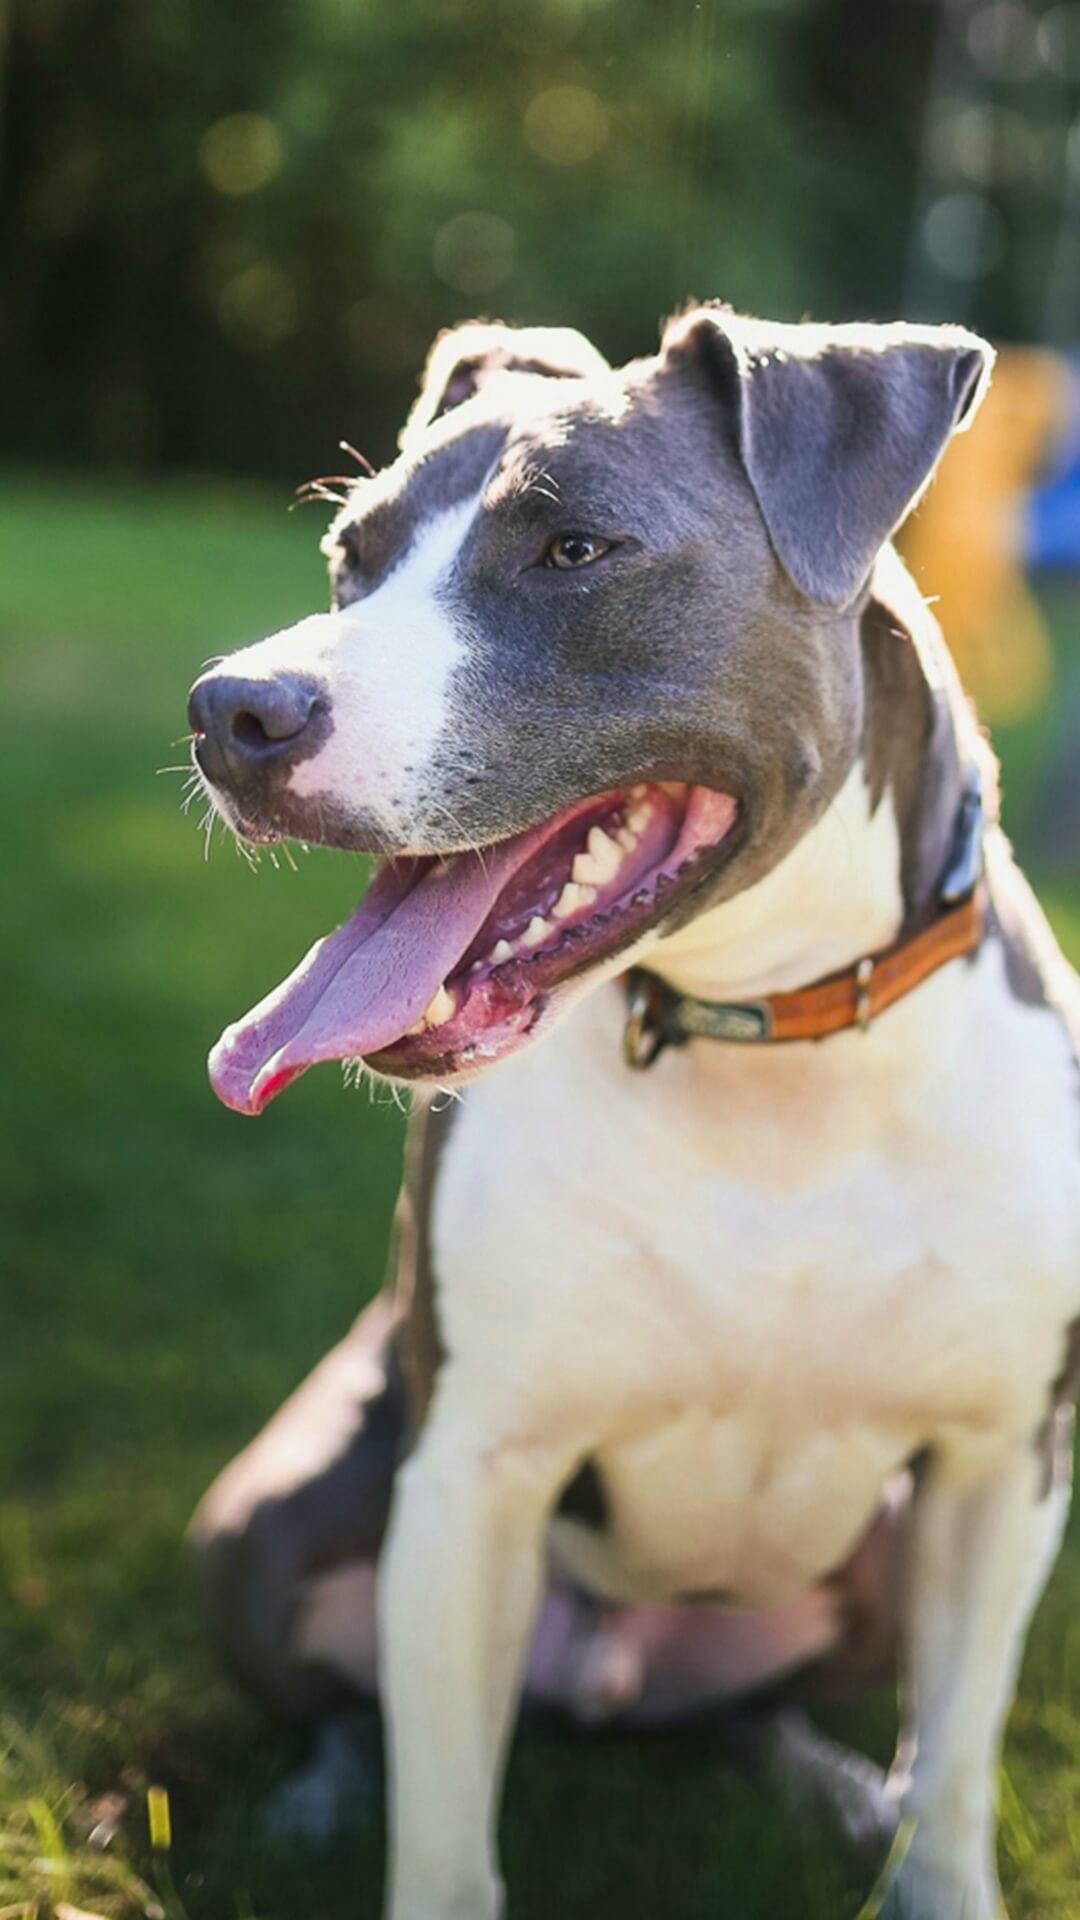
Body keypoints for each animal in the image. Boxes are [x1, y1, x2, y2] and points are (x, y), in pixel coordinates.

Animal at [186, 306, 1080, 1919]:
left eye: (575, 550)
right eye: (352, 554)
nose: (232, 709)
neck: (768, 1050)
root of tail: (606, 1682)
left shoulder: (998, 1472)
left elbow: (959, 1785)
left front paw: (921, 1845)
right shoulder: (471, 1478)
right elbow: (444, 1840)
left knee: (760, 1715)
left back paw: (830, 1782)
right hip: (263, 1517)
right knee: (353, 1706)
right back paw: (320, 1802)